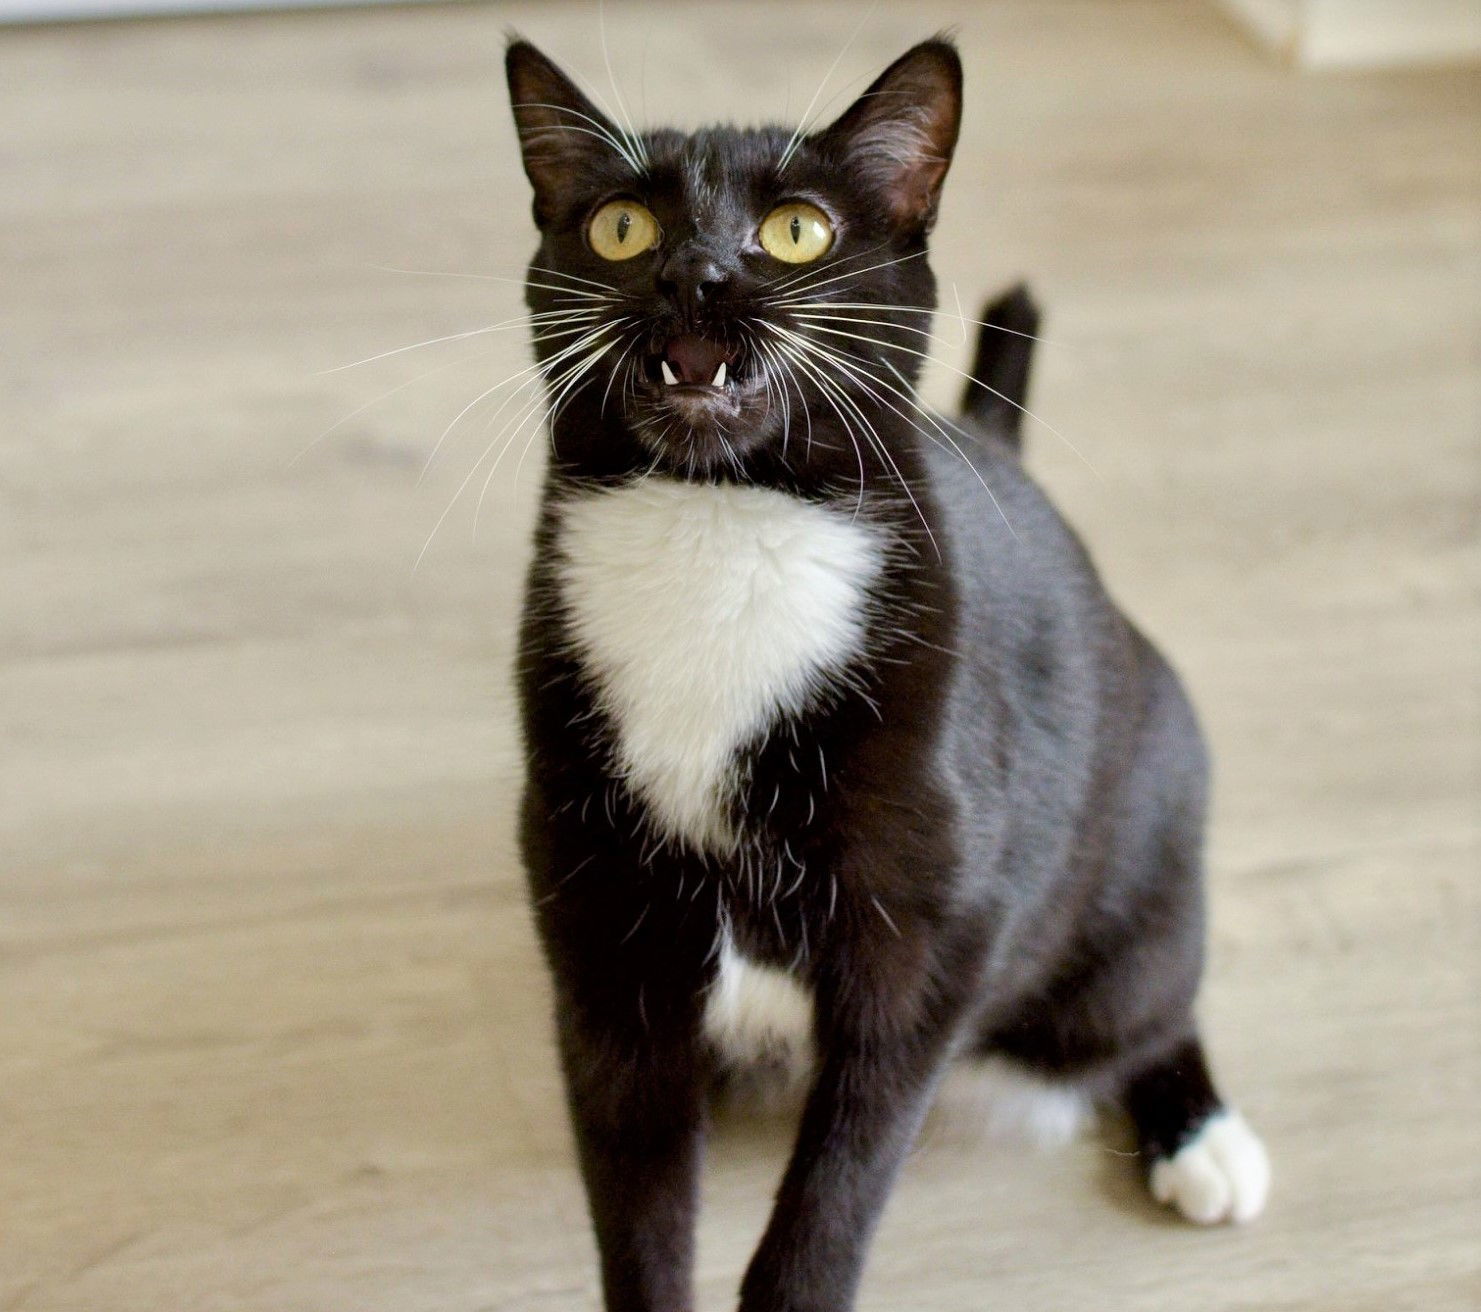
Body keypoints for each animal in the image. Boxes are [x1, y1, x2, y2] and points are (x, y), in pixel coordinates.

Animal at [503, 30, 1267, 1312]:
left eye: (795, 230)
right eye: (619, 227)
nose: (697, 274)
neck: (720, 532)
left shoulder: (927, 936)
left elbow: (840, 1181)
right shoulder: (602, 937)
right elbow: (637, 1199)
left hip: (1142, 858)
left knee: (1146, 1001)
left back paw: (1199, 1132)